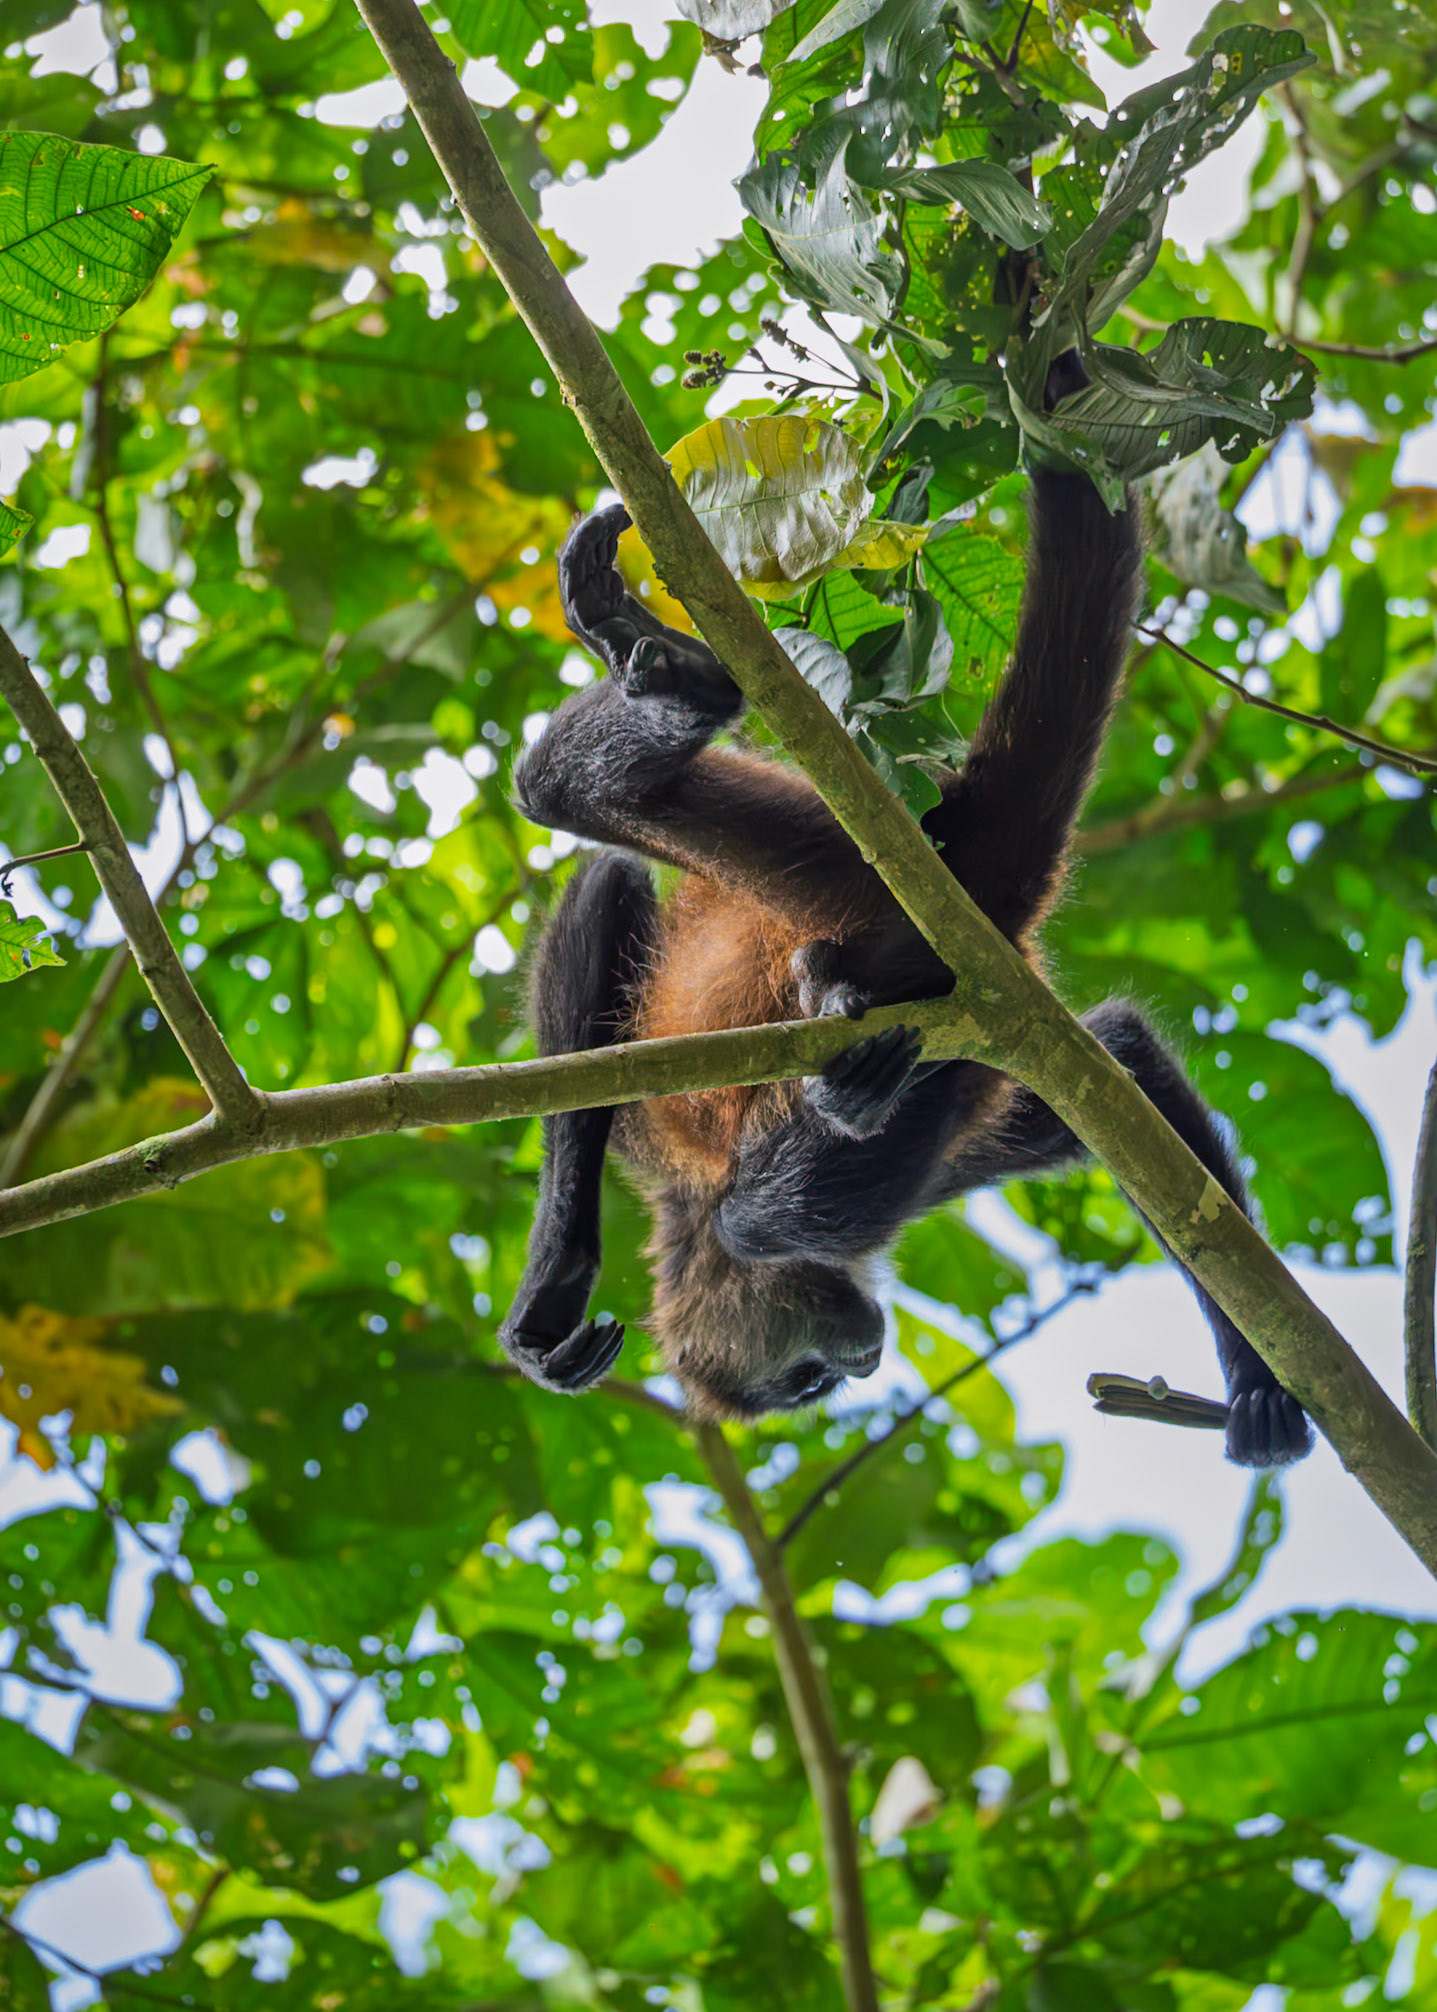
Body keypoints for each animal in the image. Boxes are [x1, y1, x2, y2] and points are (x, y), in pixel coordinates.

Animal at [496, 388, 1313, 1469]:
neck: (682, 1215)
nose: (862, 1363)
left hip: (836, 856)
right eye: (809, 1382)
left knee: (556, 793)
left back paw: (670, 678)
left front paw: (552, 1289)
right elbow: (1122, 1064)